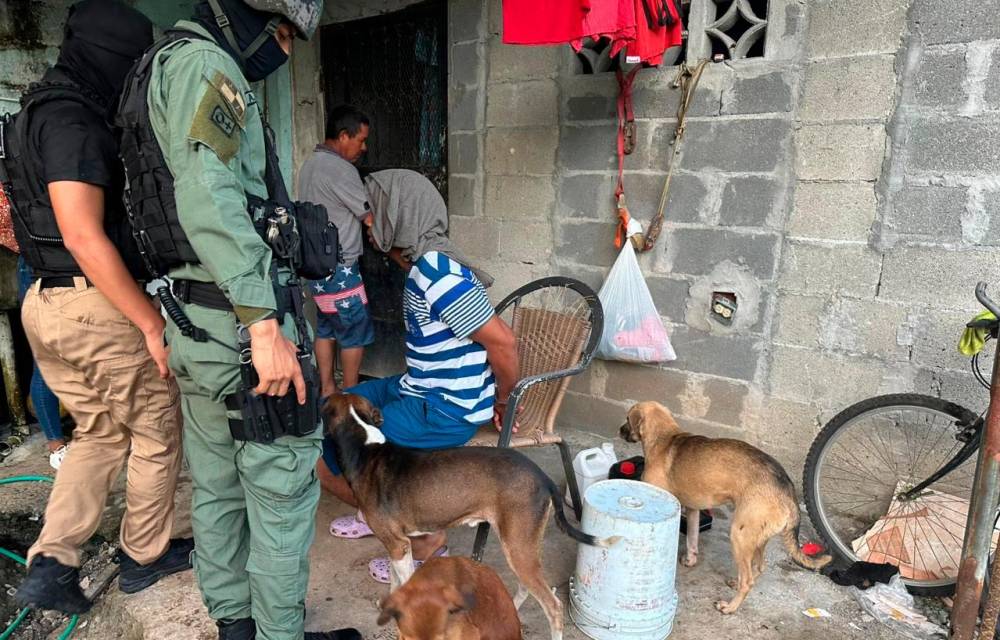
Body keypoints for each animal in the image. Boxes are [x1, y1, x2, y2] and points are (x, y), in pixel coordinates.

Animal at [620, 400, 832, 616]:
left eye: (627, 419)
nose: (620, 431)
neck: (665, 438)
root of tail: (788, 492)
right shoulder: (693, 509)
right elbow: (692, 540)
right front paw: (690, 560)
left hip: (739, 535)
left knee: (748, 581)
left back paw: (730, 607)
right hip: (757, 538)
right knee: (759, 567)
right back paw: (736, 583)